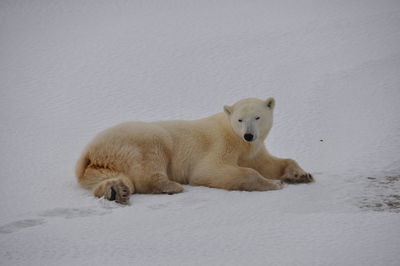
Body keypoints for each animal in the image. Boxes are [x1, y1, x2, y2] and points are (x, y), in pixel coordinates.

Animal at [75, 97, 312, 204]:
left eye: (257, 117)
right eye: (240, 119)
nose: (249, 135)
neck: (235, 137)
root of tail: (90, 150)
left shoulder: (253, 151)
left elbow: (269, 163)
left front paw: (301, 175)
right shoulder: (221, 143)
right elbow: (210, 170)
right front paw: (274, 183)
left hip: (104, 162)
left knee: (109, 176)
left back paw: (117, 190)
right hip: (140, 139)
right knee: (149, 161)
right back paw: (170, 186)